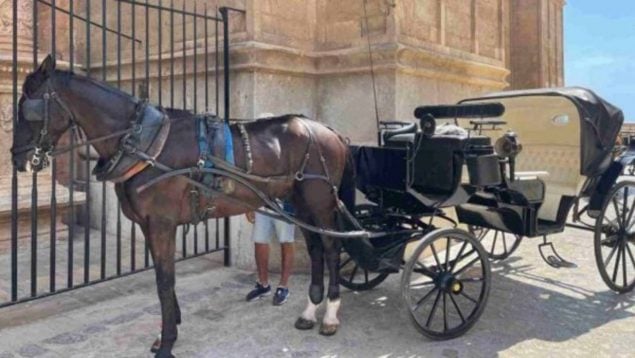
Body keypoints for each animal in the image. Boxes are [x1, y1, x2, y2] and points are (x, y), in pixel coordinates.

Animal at [11, 56, 358, 358]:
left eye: (27, 108)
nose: (17, 159)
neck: (144, 144)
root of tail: (331, 132)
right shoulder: (149, 225)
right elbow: (162, 276)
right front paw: (168, 330)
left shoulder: (162, 223)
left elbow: (165, 281)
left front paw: (167, 342)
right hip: (300, 204)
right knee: (315, 249)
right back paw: (310, 310)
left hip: (320, 202)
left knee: (331, 248)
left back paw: (330, 314)